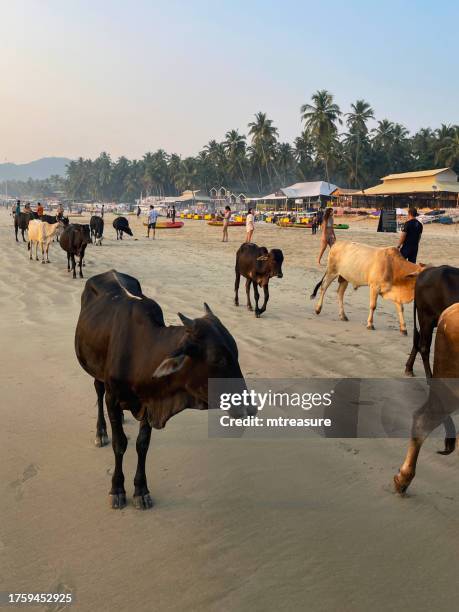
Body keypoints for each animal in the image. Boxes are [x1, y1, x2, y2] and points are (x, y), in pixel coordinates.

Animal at [76, 270, 255, 510]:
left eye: (236, 353)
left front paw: (141, 490)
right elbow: (119, 443)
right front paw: (117, 489)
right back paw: (101, 431)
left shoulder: (149, 402)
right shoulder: (113, 398)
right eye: (218, 359)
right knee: (98, 392)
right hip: (95, 372)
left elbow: (142, 445)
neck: (141, 351)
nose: (250, 409)